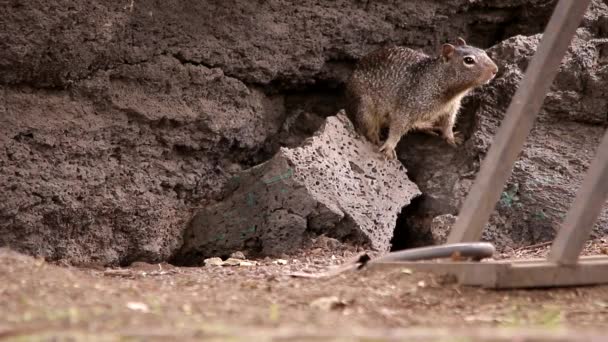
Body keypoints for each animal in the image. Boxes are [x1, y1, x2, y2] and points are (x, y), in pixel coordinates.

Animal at [344, 38, 496, 160]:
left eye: (483, 52)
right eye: (469, 60)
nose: (495, 70)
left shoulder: (451, 109)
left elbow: (448, 124)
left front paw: (452, 138)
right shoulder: (407, 107)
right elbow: (397, 129)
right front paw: (388, 147)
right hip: (365, 108)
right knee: (368, 128)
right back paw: (376, 140)